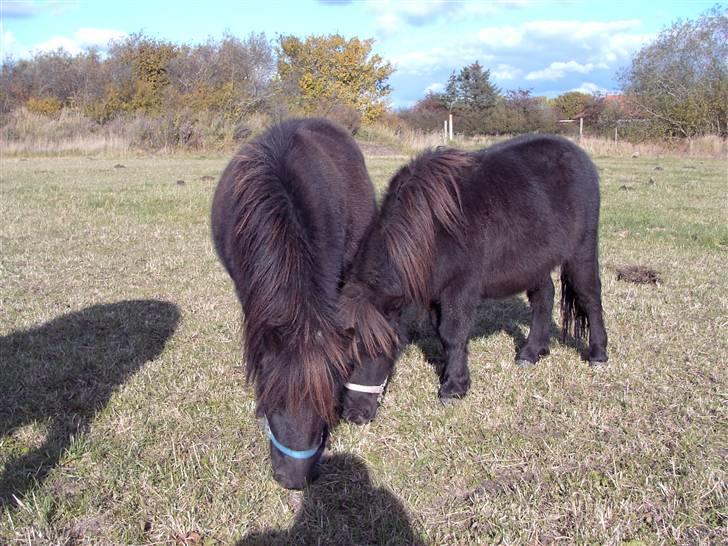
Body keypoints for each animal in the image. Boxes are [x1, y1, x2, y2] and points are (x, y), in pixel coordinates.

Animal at [342, 134, 608, 422]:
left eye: (378, 347)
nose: (354, 414)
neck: (433, 229)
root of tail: (576, 153)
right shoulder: (436, 293)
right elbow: (441, 333)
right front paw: (449, 373)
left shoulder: (460, 289)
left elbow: (453, 334)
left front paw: (453, 387)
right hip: (536, 262)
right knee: (544, 298)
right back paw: (532, 351)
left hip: (581, 252)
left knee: (590, 297)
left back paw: (598, 354)